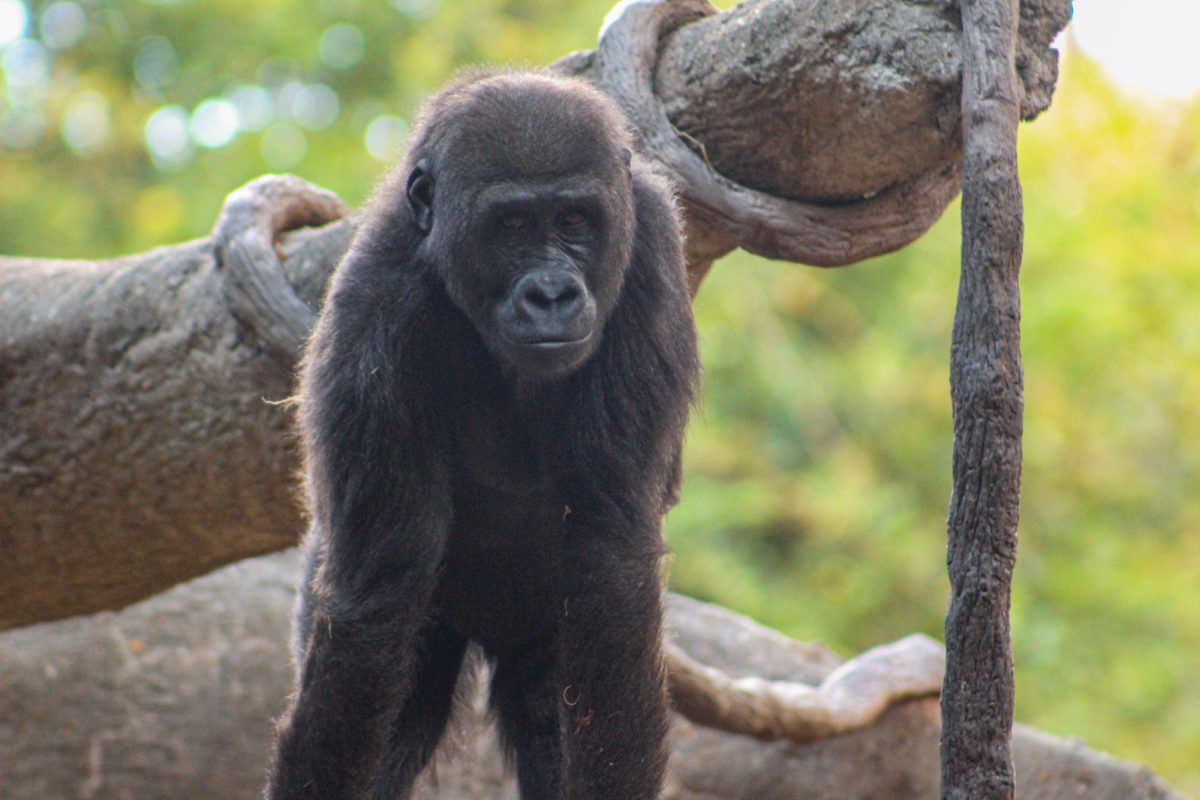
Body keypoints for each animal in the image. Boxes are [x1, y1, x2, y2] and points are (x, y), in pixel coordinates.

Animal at [267, 70, 700, 800]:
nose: (552, 294)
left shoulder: (650, 255)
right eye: (512, 226)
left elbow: (611, 565)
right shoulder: (372, 305)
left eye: (575, 222)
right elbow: (374, 604)